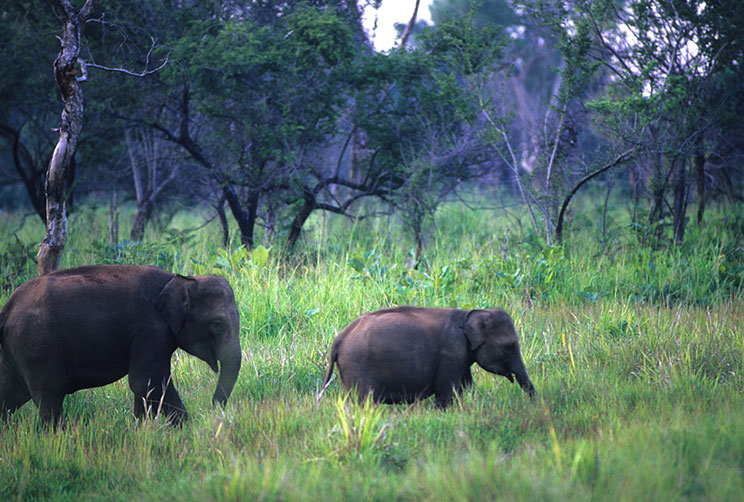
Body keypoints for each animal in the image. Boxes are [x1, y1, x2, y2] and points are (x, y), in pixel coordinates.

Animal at [0, 264, 240, 426]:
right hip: (38, 348)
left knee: (10, 396)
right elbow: (147, 381)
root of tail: (6, 309)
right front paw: (183, 427)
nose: (213, 410)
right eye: (217, 323)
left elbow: (144, 386)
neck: (180, 279)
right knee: (49, 396)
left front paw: (141, 428)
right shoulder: (149, 328)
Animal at [320, 306, 536, 408]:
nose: (534, 404)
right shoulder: (452, 353)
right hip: (357, 367)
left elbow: (464, 388)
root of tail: (339, 339)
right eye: (509, 347)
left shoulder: (462, 357)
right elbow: (447, 393)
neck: (470, 313)